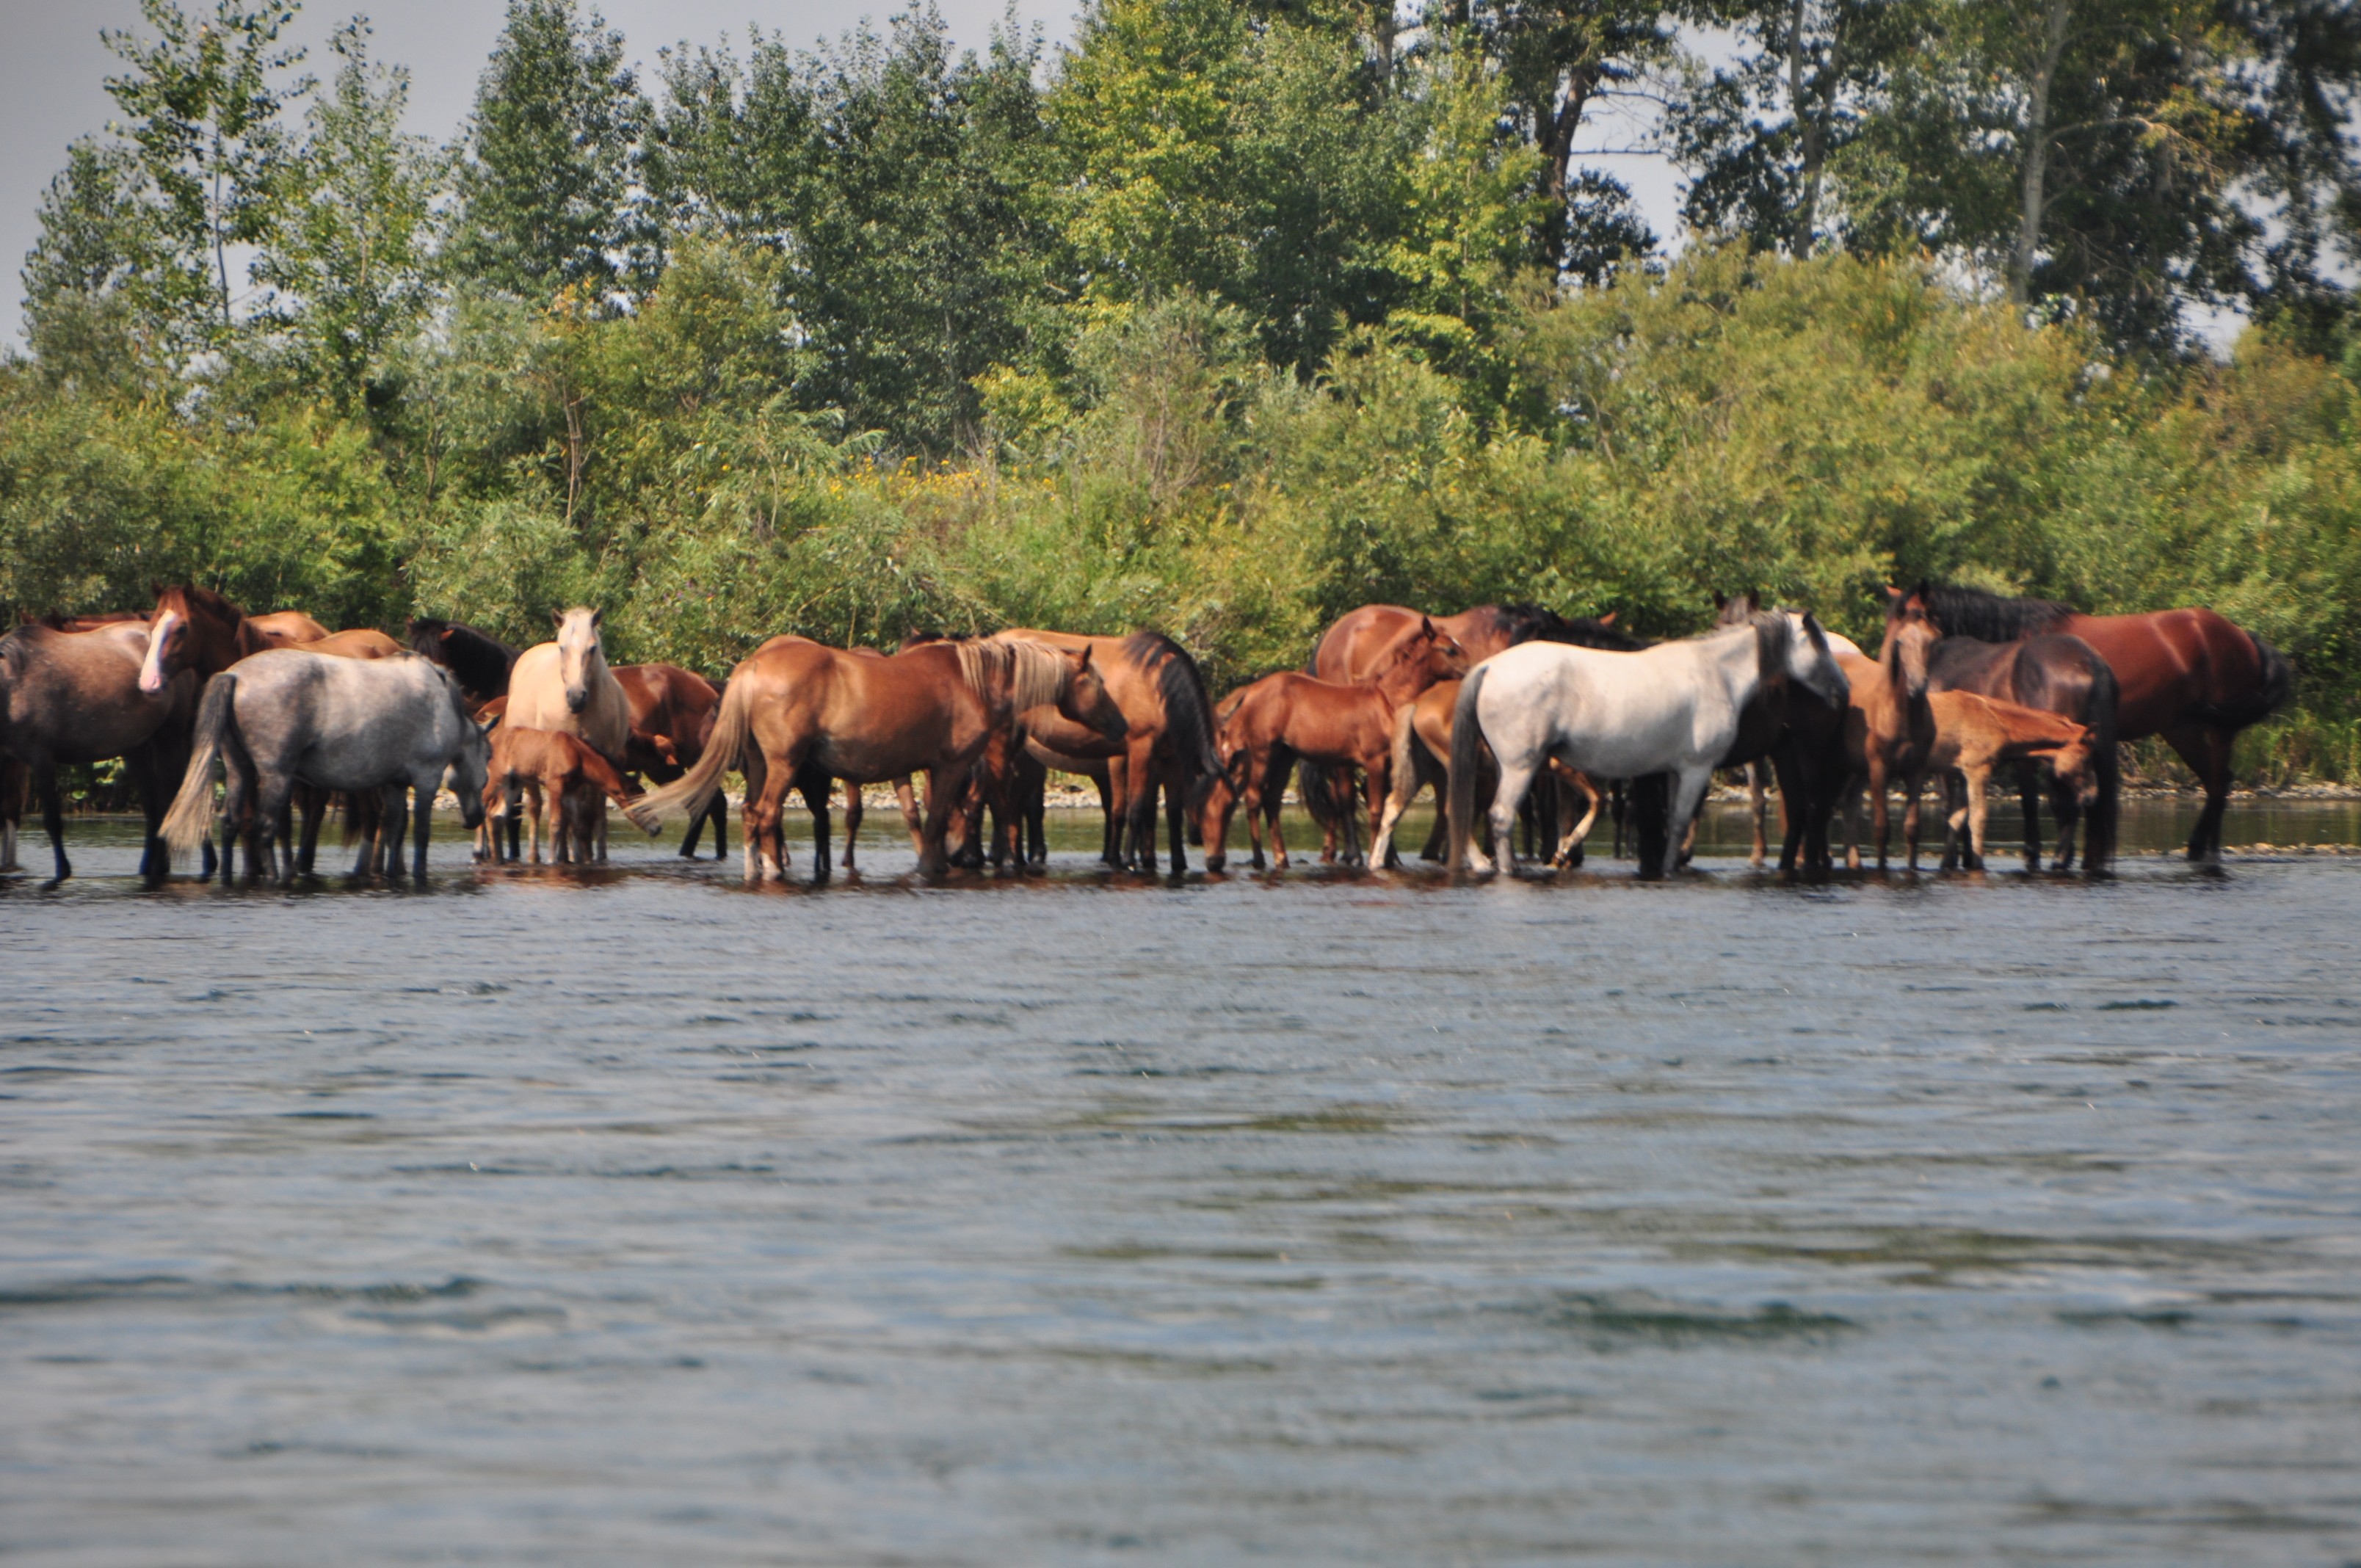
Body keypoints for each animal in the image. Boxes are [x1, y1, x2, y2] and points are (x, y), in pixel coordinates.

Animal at [618, 637, 1114, 883]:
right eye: (1098, 682)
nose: (1119, 723)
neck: (972, 680)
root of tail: (753, 668)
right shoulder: (949, 765)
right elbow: (936, 819)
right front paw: (930, 867)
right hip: (783, 764)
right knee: (766, 814)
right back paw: (773, 872)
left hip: (760, 764)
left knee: (750, 814)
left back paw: (755, 867)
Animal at [991, 623, 1227, 868]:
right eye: (1202, 806)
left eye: (1230, 806)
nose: (1217, 860)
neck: (1160, 688)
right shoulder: (1138, 749)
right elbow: (1135, 809)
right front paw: (1128, 860)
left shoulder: (1170, 758)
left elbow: (1172, 812)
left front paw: (1178, 863)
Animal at [1208, 618, 1463, 868]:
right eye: (1450, 650)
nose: (1468, 671)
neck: (1387, 700)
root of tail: (1250, 691)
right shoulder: (1375, 760)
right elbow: (1376, 809)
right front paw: (1374, 858)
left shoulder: (1390, 762)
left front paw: (1388, 858)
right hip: (1263, 752)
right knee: (1253, 798)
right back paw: (1260, 859)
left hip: (1284, 756)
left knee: (1272, 800)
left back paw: (1282, 859)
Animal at [1445, 614, 1851, 883]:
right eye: (1818, 644)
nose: (1842, 690)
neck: (1715, 673)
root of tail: (1490, 667)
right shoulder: (1695, 769)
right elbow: (1680, 821)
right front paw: (1669, 870)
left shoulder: (1671, 772)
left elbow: (1671, 822)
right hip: (1520, 767)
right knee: (1501, 816)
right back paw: (1507, 870)